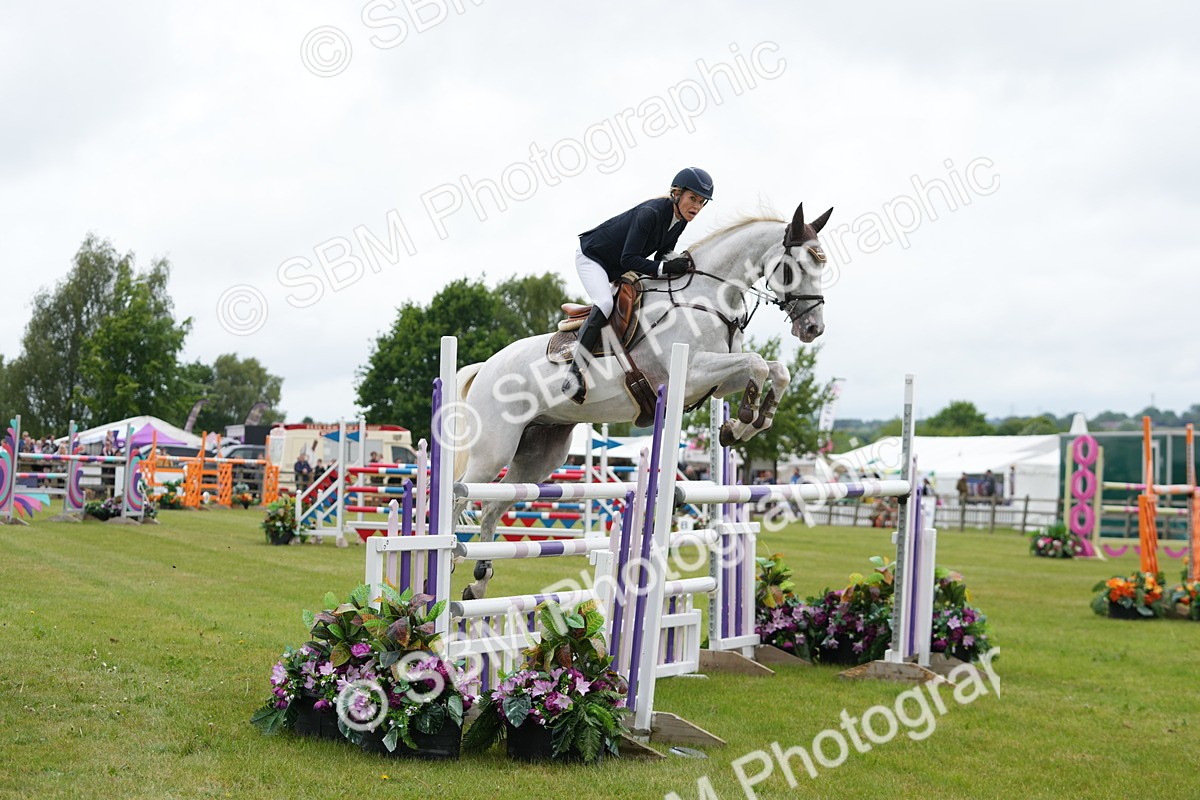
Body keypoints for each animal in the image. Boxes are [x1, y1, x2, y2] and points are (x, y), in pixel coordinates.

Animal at [452, 202, 832, 600]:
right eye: (795, 267)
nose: (813, 329)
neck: (708, 299)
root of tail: (485, 368)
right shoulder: (693, 372)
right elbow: (758, 363)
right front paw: (743, 419)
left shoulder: (718, 382)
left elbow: (775, 369)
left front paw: (742, 426)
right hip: (493, 450)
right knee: (460, 495)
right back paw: (447, 560)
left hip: (540, 455)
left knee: (493, 506)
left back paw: (478, 582)